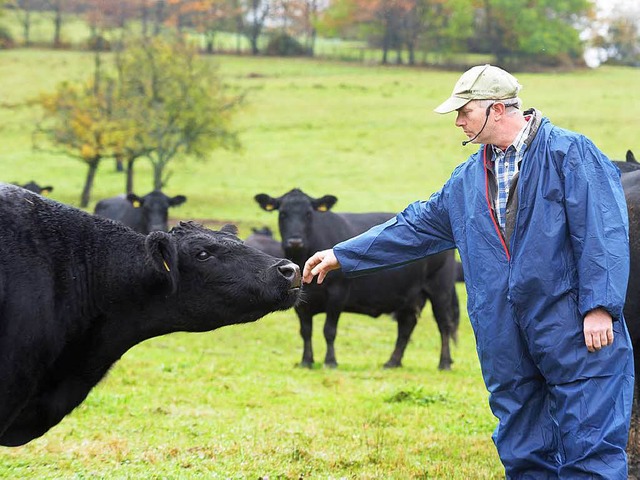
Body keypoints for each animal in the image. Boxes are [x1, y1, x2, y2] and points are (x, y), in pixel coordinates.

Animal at [255, 189, 460, 370]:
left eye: (308, 214)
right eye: (282, 213)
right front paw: (306, 361)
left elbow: (329, 330)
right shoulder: (301, 302)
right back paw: (392, 362)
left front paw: (330, 362)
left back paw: (444, 363)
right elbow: (306, 331)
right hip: (410, 296)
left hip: (440, 289)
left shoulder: (338, 294)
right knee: (406, 327)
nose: (295, 241)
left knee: (444, 325)